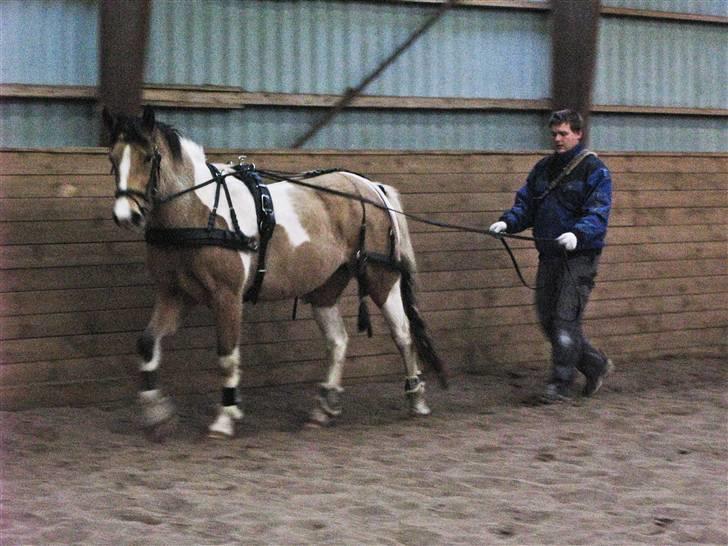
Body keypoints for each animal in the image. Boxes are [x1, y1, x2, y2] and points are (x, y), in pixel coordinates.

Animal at [101, 106, 444, 438]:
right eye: (113, 158)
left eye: (148, 157)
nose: (126, 216)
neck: (198, 214)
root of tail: (371, 187)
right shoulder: (174, 295)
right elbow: (147, 343)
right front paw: (157, 414)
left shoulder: (227, 296)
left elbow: (227, 357)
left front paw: (225, 418)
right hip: (326, 286)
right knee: (338, 341)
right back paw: (323, 409)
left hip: (380, 278)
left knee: (402, 334)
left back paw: (416, 399)